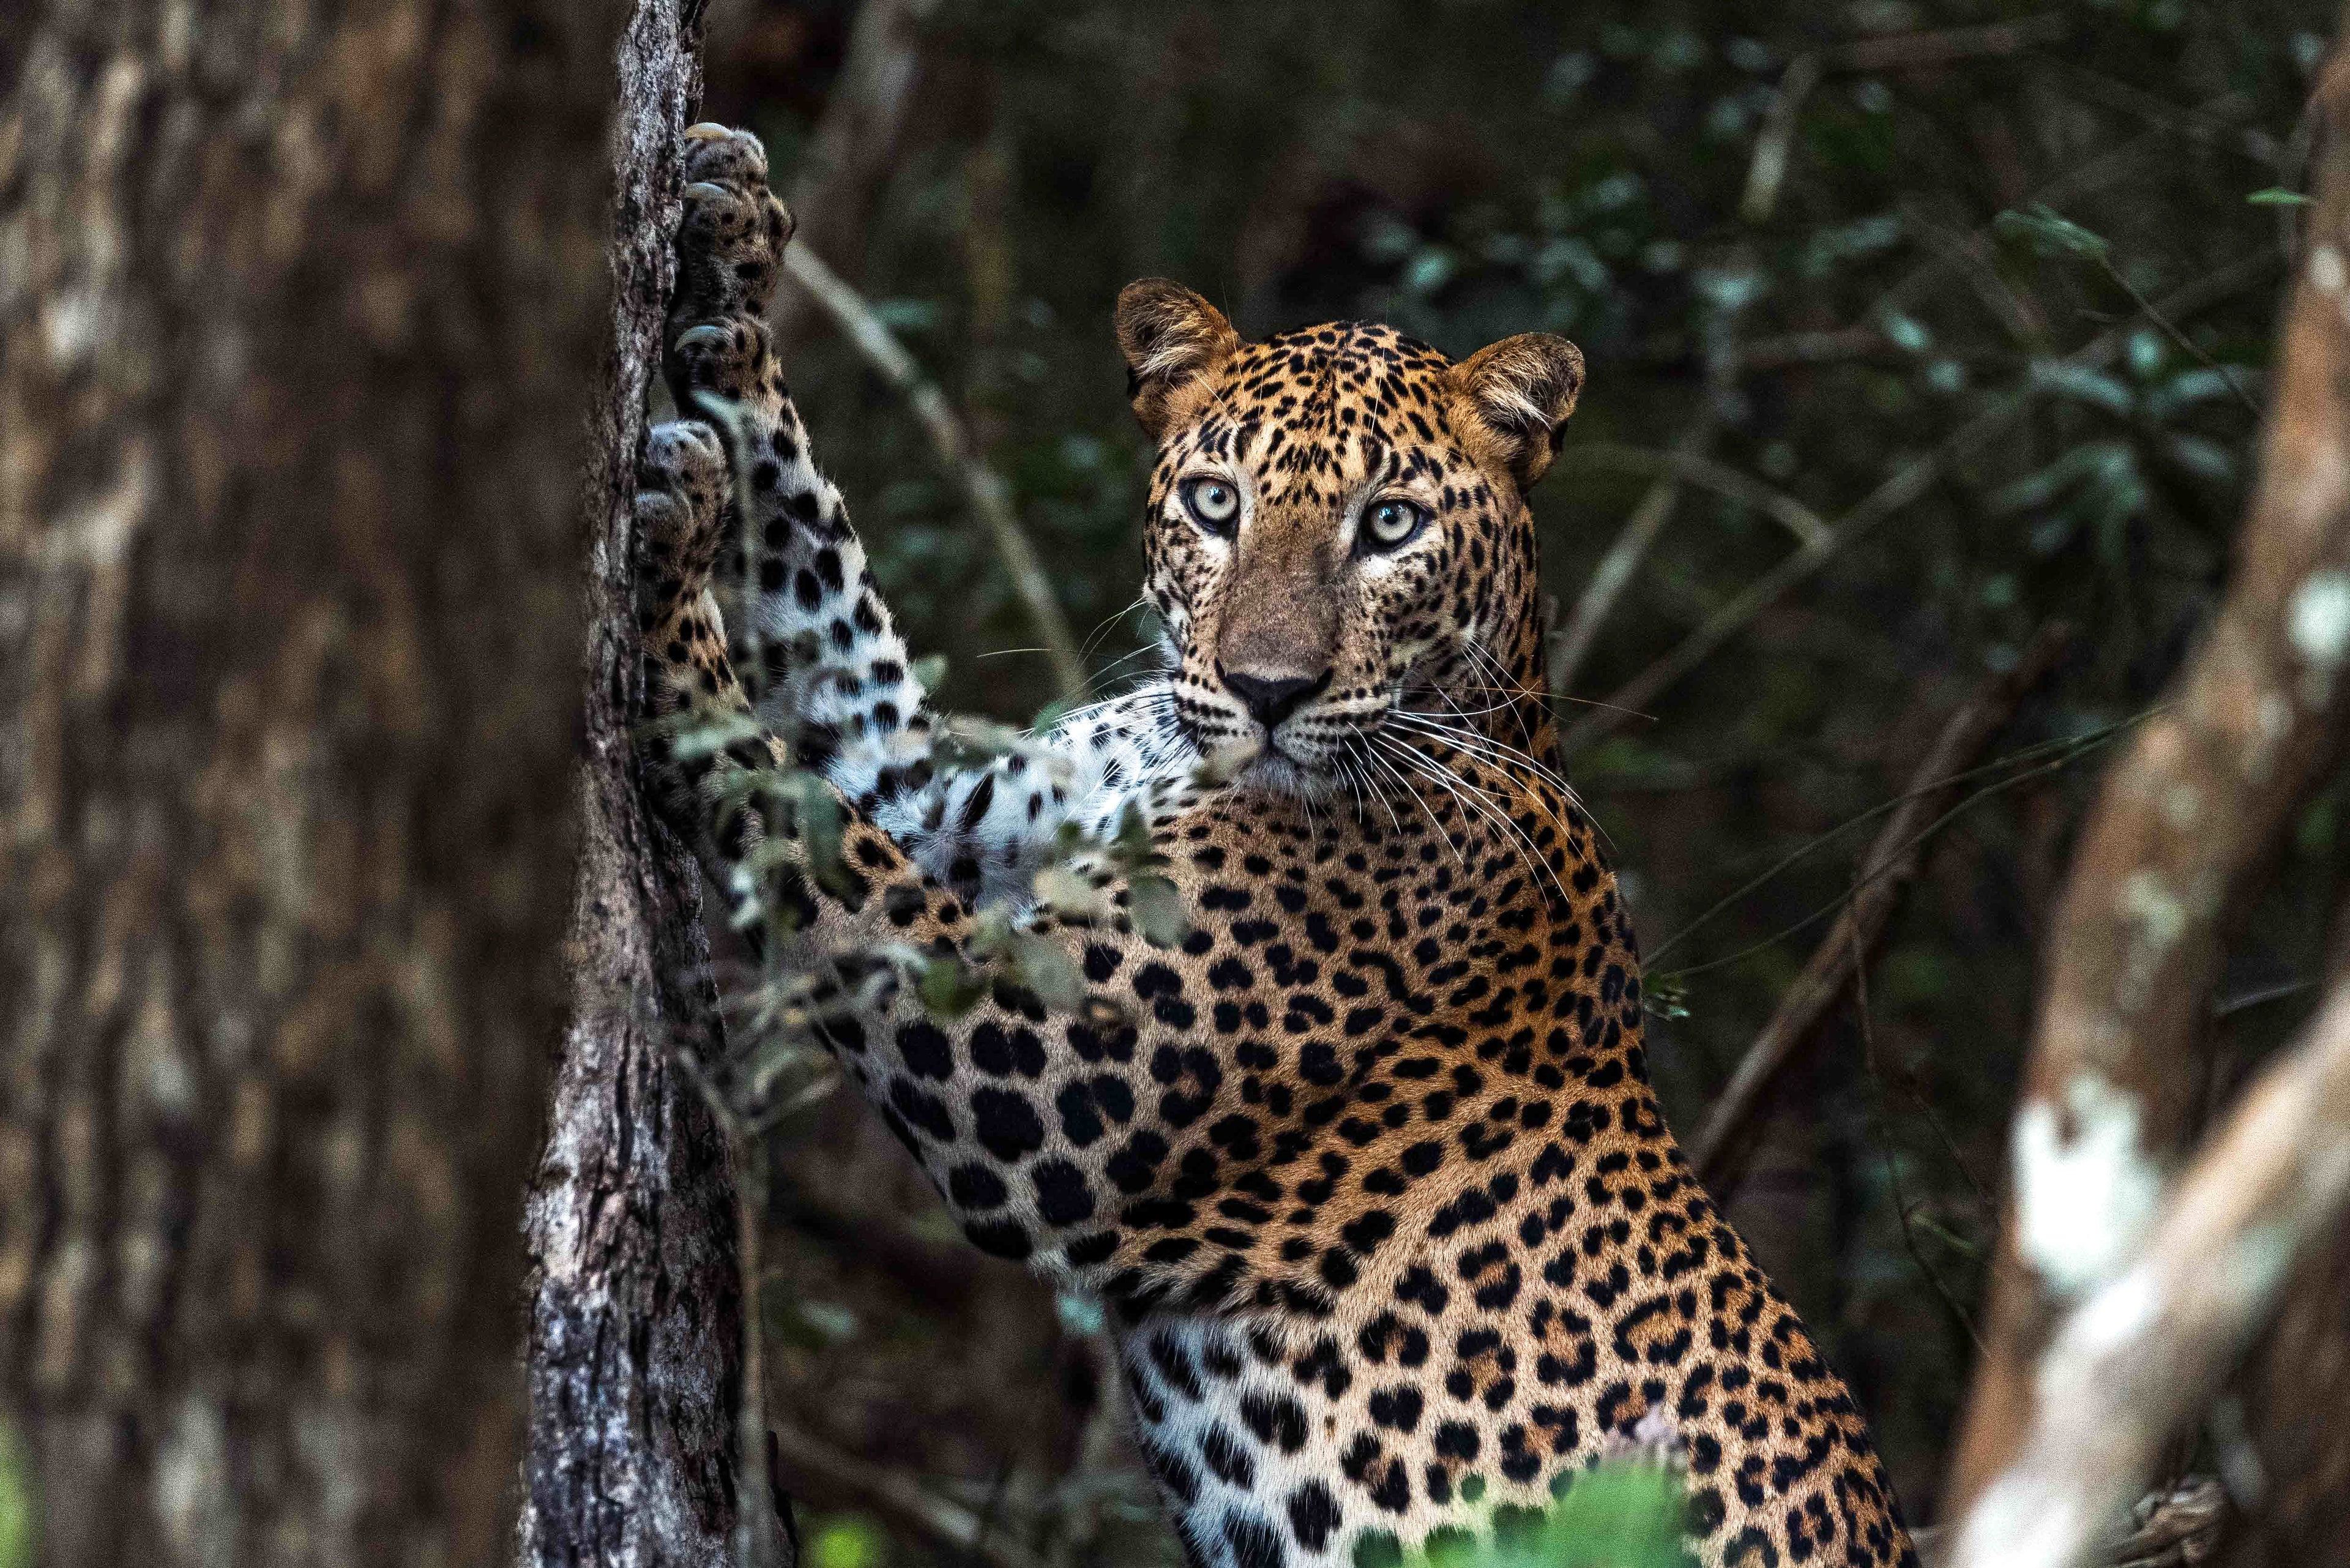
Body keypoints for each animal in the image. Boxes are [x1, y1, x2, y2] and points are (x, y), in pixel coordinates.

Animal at [634, 122, 1920, 1568]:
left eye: (1391, 526)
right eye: (1212, 503)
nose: (1265, 690)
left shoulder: (1041, 1068)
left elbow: (805, 831)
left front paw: (667, 599)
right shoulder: (954, 810)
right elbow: (827, 610)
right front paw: (732, 258)